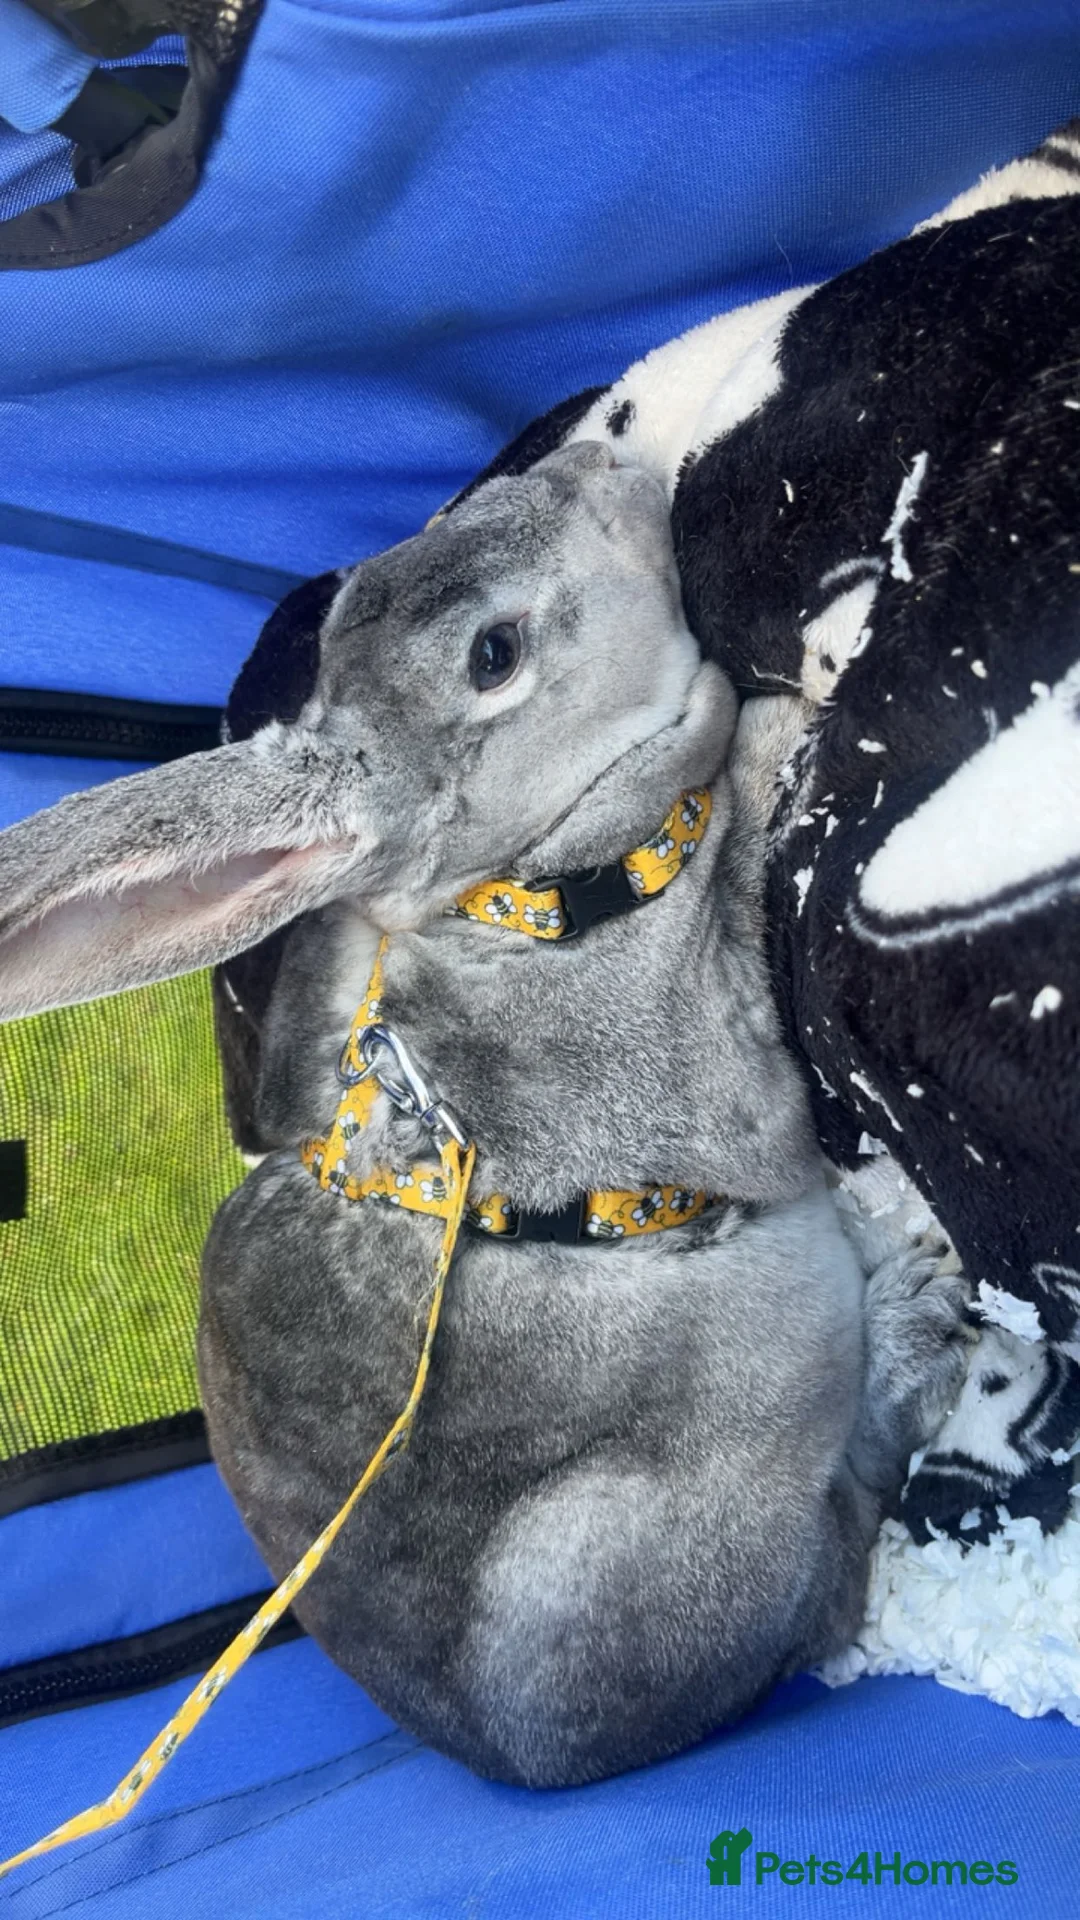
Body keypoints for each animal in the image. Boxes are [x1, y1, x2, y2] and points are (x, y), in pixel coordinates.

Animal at [0, 442, 970, 1787]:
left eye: (366, 584)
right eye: (493, 655)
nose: (607, 463)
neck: (503, 890)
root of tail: (535, 1767)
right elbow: (742, 795)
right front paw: (796, 704)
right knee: (838, 1561)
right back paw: (920, 1320)